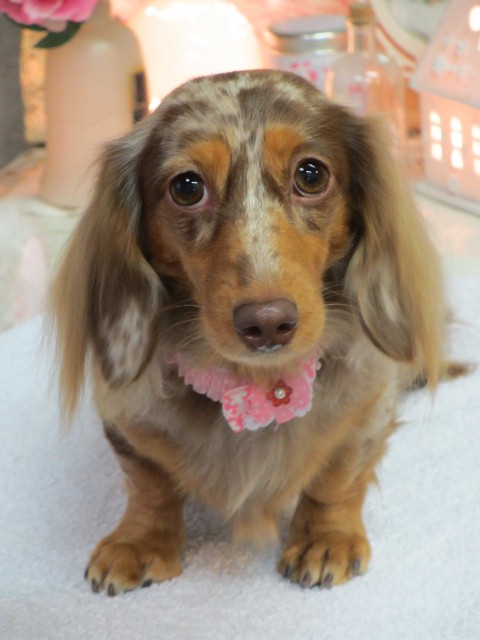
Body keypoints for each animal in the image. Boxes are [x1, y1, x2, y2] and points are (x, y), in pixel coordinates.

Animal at [51, 69, 446, 596]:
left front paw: (325, 539)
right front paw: (140, 541)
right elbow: (148, 482)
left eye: (311, 175)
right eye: (187, 186)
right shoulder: (126, 417)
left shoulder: (369, 407)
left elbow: (338, 476)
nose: (268, 322)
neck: (256, 382)